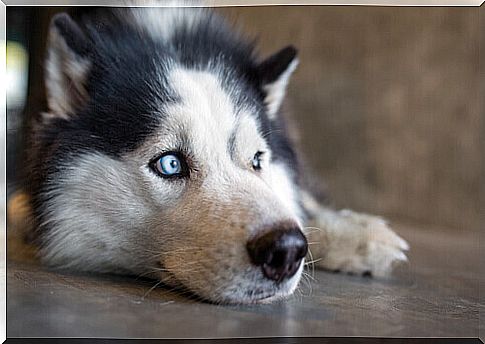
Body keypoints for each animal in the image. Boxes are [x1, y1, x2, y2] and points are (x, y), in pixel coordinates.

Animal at [10, 5, 408, 304]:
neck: (166, 39)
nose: (288, 250)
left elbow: (298, 198)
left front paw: (354, 234)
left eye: (257, 160)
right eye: (170, 164)